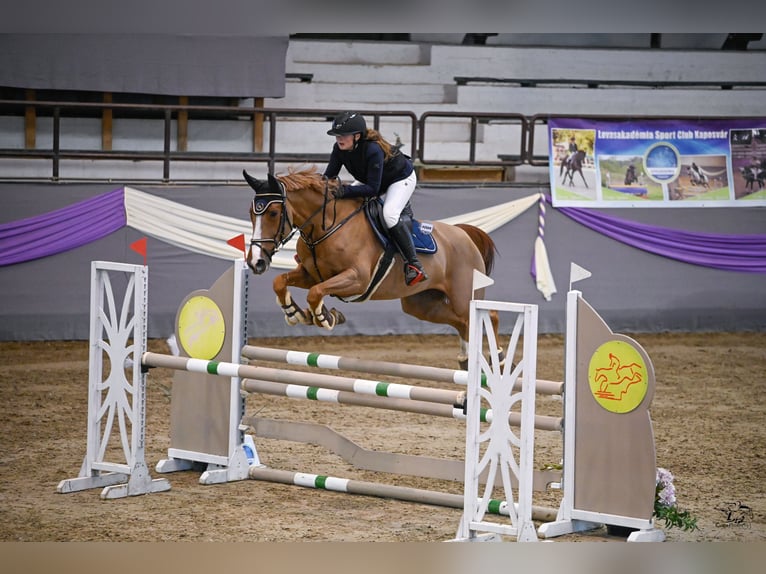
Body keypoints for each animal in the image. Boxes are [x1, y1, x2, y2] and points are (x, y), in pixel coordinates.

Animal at [242, 167, 502, 369]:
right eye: (251, 214)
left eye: (273, 213)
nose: (256, 262)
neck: (327, 227)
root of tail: (463, 234)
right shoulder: (311, 274)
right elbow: (281, 282)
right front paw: (295, 312)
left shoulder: (357, 279)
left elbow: (315, 293)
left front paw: (325, 317)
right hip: (421, 305)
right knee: (462, 323)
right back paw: (465, 360)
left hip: (462, 296)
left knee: (487, 316)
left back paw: (496, 358)